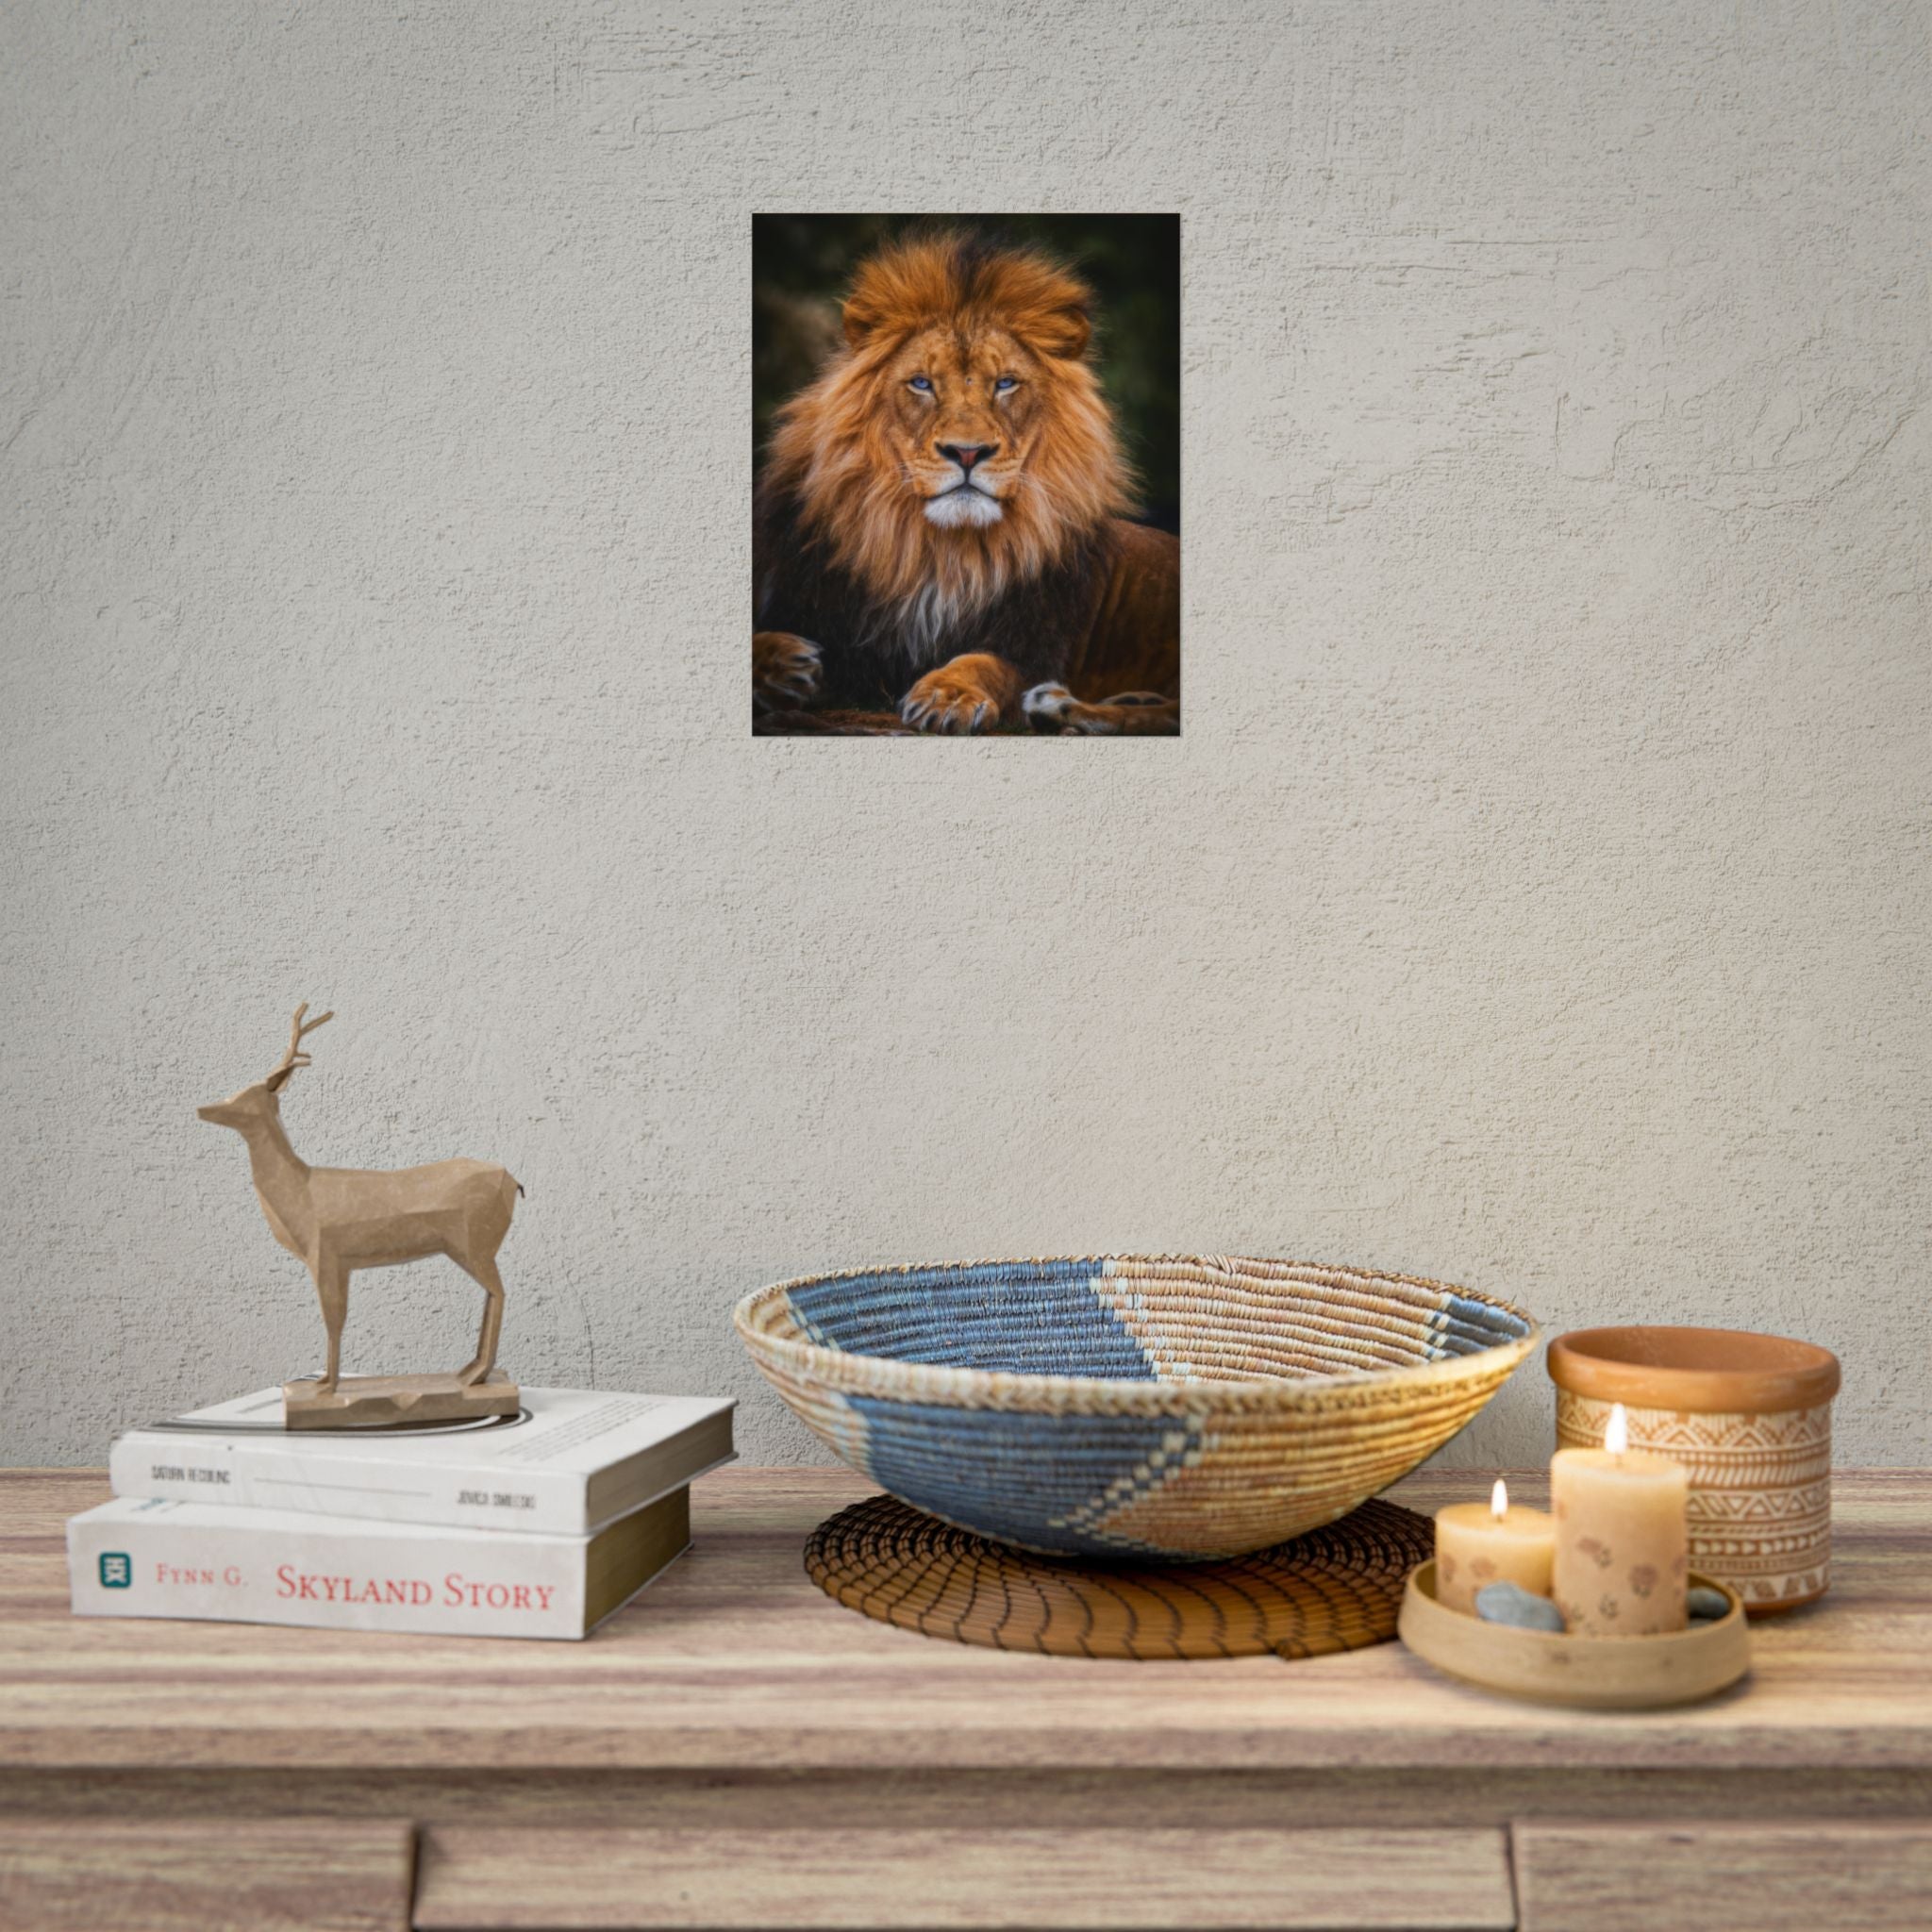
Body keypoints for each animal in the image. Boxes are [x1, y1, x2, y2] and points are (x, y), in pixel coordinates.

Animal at [753, 231, 1179, 735]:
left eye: (1006, 383)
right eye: (921, 383)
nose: (968, 452)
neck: (939, 552)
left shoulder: (1033, 644)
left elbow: (983, 663)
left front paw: (947, 695)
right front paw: (782, 663)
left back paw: (1059, 707)